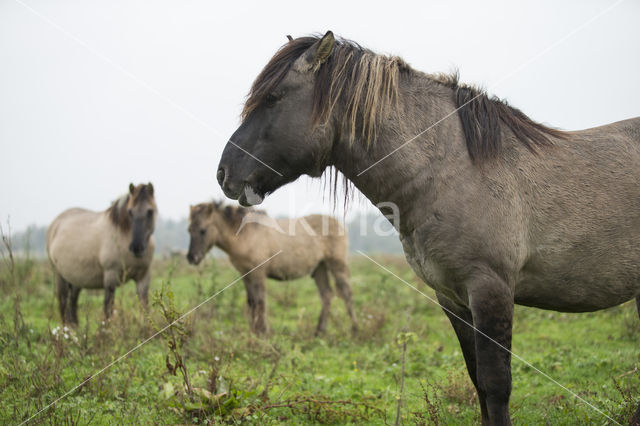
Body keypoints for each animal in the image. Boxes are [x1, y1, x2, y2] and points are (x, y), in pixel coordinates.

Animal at [46, 181, 158, 324]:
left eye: (150, 211)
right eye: (130, 212)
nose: (136, 248)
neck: (123, 235)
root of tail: (55, 223)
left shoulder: (143, 277)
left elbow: (145, 306)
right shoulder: (110, 276)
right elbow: (108, 308)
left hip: (76, 279)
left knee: (73, 302)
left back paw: (75, 327)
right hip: (59, 276)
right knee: (63, 303)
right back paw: (67, 329)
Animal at [185, 203, 358, 336]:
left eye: (202, 230)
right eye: (189, 230)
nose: (191, 258)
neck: (246, 235)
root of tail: (339, 224)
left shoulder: (258, 274)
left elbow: (260, 301)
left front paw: (264, 332)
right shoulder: (246, 275)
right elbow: (251, 302)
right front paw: (254, 331)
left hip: (337, 265)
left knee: (347, 294)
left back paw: (354, 329)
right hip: (320, 268)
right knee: (327, 295)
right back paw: (319, 331)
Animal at [218, 31, 640, 424]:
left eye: (274, 98)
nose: (224, 173)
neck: (453, 172)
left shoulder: (490, 291)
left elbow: (496, 384)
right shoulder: (452, 297)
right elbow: (477, 382)